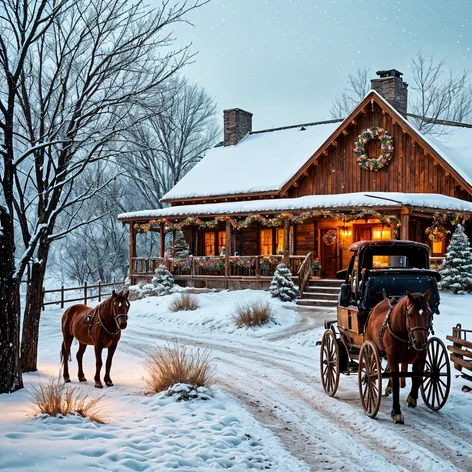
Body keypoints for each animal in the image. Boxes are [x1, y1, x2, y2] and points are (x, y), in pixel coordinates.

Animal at [366, 288, 434, 424]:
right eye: (410, 314)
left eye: (429, 313)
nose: (420, 342)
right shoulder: (393, 356)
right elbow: (397, 381)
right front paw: (396, 412)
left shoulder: (421, 357)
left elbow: (417, 377)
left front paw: (412, 398)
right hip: (372, 346)